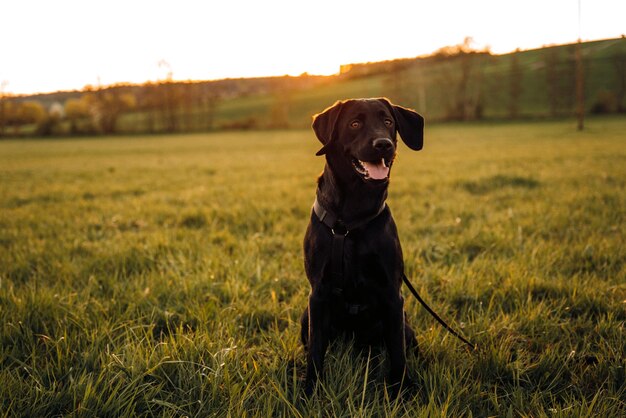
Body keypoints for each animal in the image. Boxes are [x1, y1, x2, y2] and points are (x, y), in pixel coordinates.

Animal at [298, 97, 424, 396]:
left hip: (405, 322)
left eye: (388, 122)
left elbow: (398, 353)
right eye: (355, 123)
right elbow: (316, 351)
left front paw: (402, 390)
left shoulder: (392, 295)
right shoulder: (317, 294)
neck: (352, 219)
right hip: (305, 316)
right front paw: (310, 390)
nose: (383, 144)